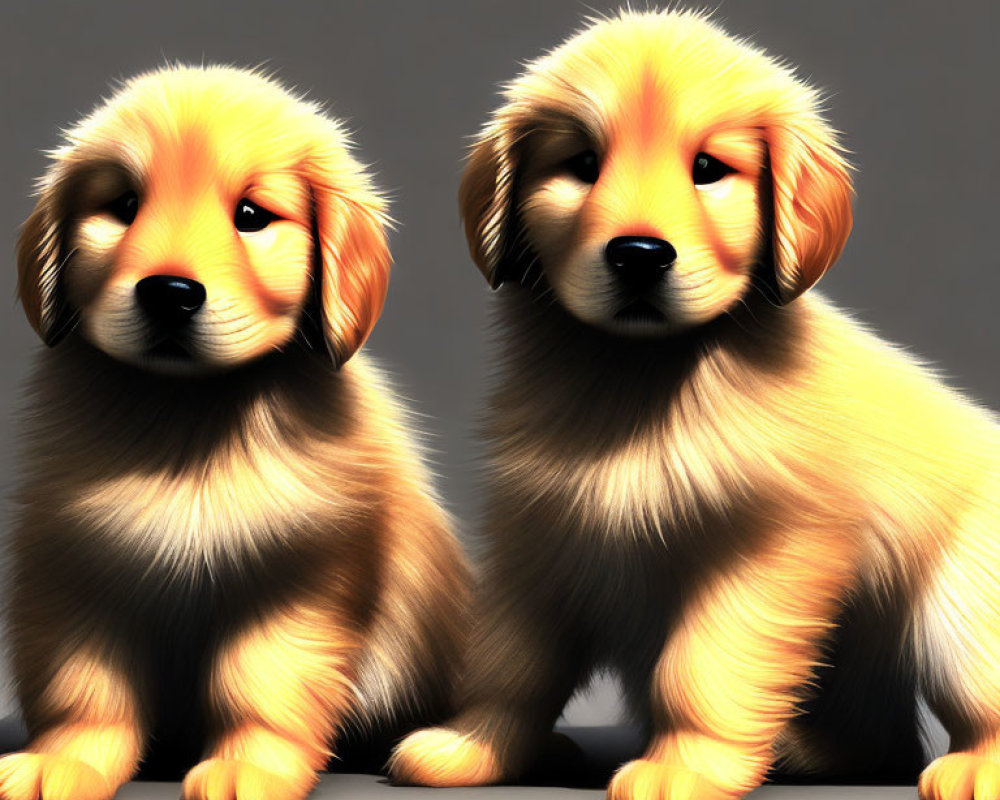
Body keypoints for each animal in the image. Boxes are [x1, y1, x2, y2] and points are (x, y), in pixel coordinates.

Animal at [1, 65, 470, 800]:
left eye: (251, 216)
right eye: (124, 205)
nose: (168, 293)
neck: (188, 422)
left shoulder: (296, 577)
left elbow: (261, 682)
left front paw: (248, 768)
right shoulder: (77, 566)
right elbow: (85, 688)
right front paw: (63, 760)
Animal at [390, 7, 1000, 800]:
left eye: (709, 169)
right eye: (582, 164)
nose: (639, 254)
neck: (639, 384)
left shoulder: (765, 549)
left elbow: (703, 666)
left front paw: (681, 767)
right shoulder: (541, 538)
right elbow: (509, 661)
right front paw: (471, 747)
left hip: (962, 605)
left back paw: (974, 765)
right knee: (881, 736)